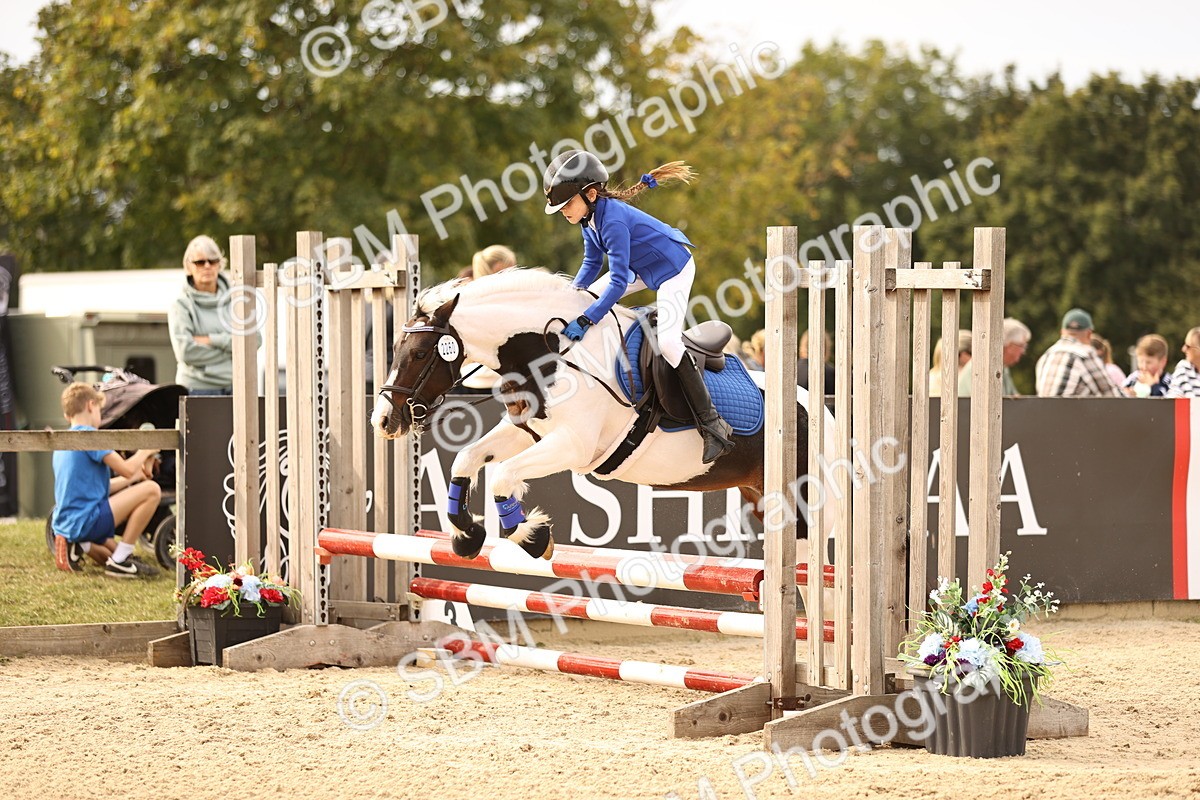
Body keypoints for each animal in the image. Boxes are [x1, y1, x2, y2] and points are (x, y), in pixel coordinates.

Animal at [370, 268, 834, 561]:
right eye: (394, 348)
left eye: (419, 354)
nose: (383, 421)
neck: (551, 353)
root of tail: (824, 415)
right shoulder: (527, 432)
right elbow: (467, 459)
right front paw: (467, 535)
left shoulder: (572, 447)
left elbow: (502, 477)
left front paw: (533, 537)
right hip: (763, 500)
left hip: (803, 512)